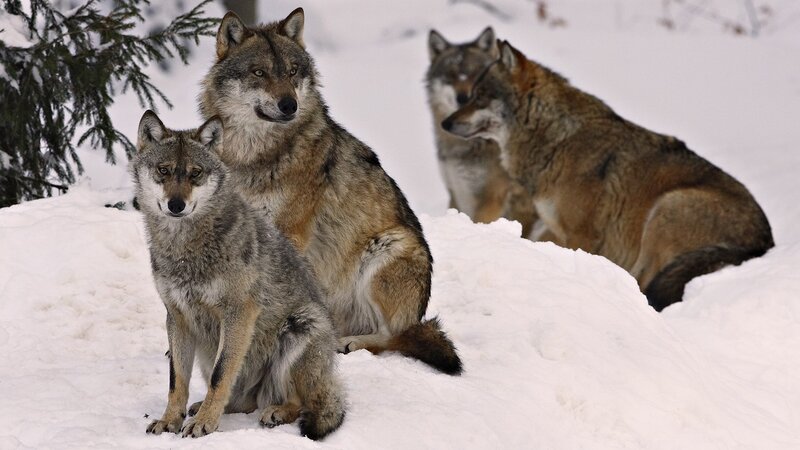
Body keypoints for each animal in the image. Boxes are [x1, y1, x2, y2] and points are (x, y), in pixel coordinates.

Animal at [134, 111, 345, 439]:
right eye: (163, 170)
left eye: (195, 173)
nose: (176, 205)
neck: (185, 249)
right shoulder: (177, 316)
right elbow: (176, 381)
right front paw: (170, 421)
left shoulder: (239, 312)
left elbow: (221, 375)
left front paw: (204, 424)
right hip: (208, 350)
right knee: (243, 402)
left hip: (302, 325)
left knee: (300, 402)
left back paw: (275, 412)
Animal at [199, 9, 462, 374]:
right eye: (259, 72)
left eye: (292, 71)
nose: (289, 105)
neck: (253, 155)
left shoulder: (290, 233)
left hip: (387, 249)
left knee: (395, 338)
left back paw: (348, 343)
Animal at [442, 41, 774, 311]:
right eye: (471, 95)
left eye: (480, 97)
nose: (445, 123)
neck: (558, 139)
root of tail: (763, 242)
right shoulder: (556, 228)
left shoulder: (582, 234)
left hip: (666, 209)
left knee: (646, 284)